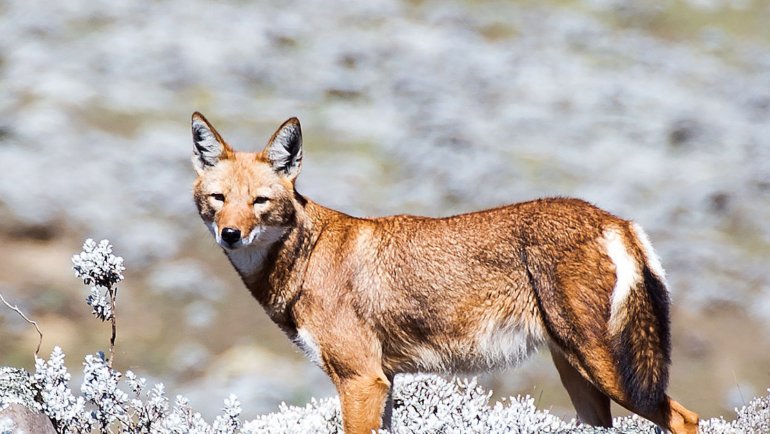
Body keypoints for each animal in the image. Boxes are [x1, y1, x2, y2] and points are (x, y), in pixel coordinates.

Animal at [189, 112, 700, 434]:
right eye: (218, 199)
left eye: (260, 201)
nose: (231, 234)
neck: (306, 256)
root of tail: (615, 220)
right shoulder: (382, 382)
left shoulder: (360, 380)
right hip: (580, 378)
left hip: (611, 373)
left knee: (686, 418)